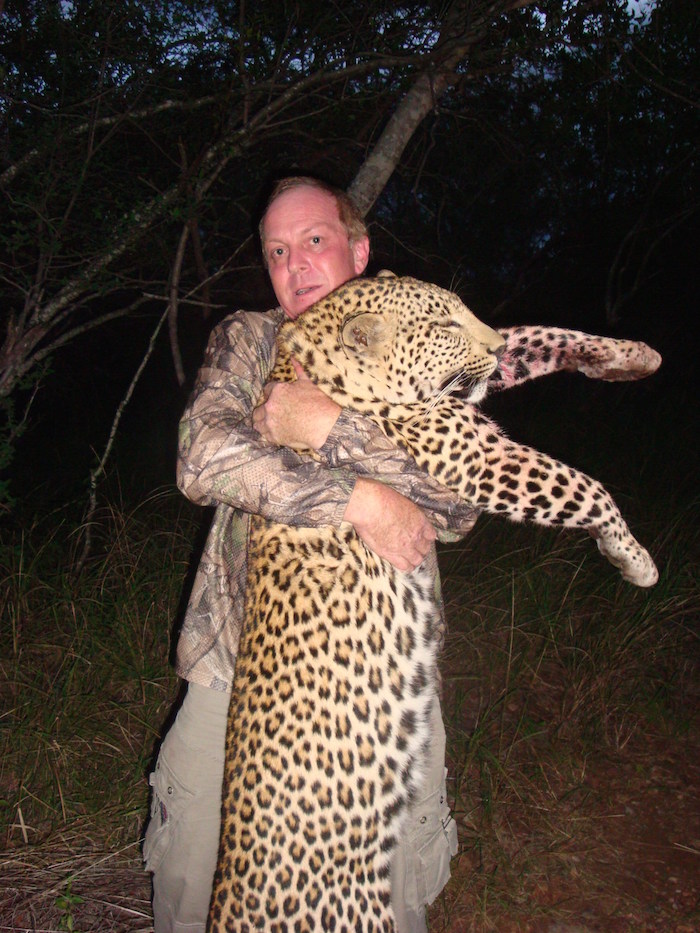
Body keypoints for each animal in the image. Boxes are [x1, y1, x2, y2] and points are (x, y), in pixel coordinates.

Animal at [208, 273, 660, 933]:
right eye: (442, 326)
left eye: (462, 312)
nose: (489, 345)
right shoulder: (476, 457)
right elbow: (587, 489)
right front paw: (634, 559)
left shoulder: (470, 397)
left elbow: (540, 335)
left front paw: (631, 356)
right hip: (355, 912)